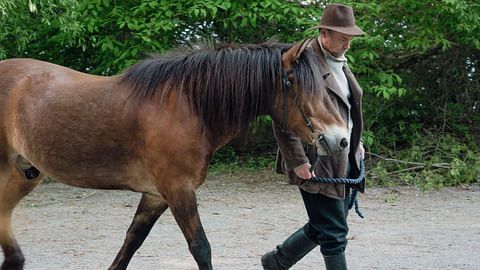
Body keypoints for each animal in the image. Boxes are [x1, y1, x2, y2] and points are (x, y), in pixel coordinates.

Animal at [0, 39, 346, 268]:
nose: (341, 139)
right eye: (296, 83)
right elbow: (201, 247)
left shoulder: (156, 195)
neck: (188, 106)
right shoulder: (179, 191)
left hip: (24, 174)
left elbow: (131, 243)